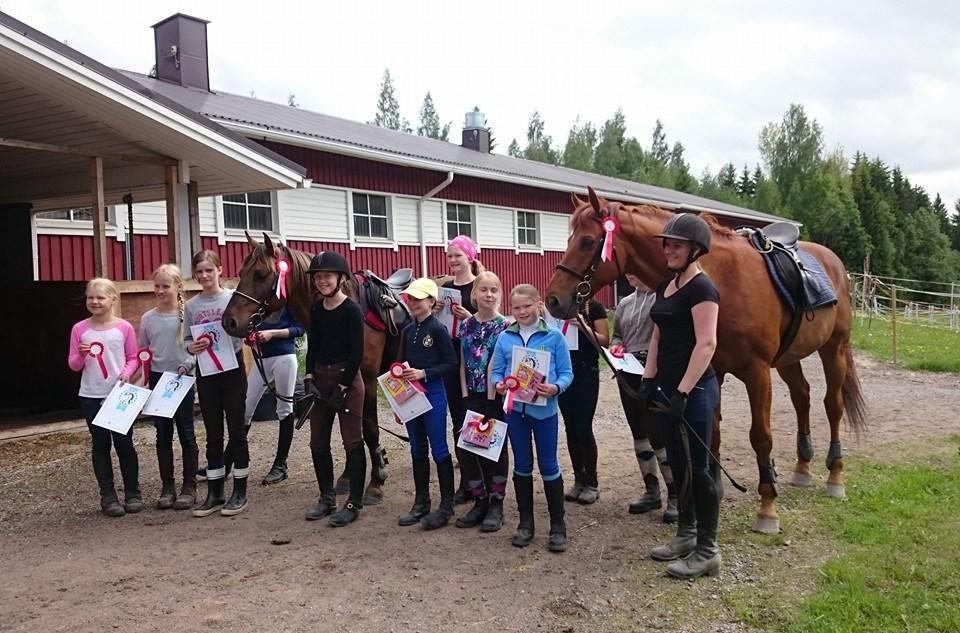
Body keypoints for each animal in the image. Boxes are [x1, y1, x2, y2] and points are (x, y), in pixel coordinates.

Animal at [222, 235, 398, 502]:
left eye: (261, 274)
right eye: (241, 273)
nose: (229, 322)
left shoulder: (366, 381)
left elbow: (368, 429)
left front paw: (376, 482)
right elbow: (348, 427)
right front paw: (346, 478)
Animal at [544, 188, 868, 532]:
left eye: (588, 242)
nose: (553, 300)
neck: (722, 281)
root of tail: (834, 261)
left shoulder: (757, 372)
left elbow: (760, 437)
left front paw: (767, 507)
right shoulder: (714, 371)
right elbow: (712, 434)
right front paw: (712, 494)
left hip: (833, 349)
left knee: (832, 405)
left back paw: (834, 475)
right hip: (788, 358)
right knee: (802, 397)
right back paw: (803, 467)